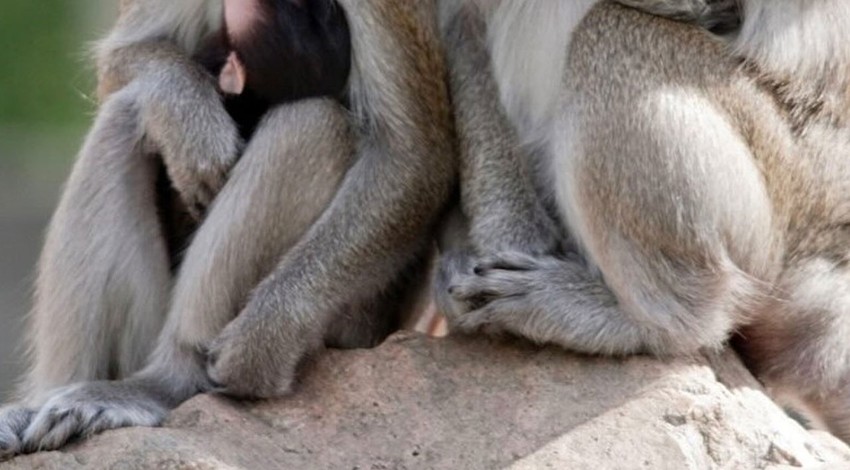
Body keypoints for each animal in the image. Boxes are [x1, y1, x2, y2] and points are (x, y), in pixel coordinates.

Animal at [0, 0, 458, 458]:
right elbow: (118, 64)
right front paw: (189, 115)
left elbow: (412, 158)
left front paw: (260, 345)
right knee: (124, 115)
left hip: (354, 325)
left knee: (316, 124)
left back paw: (168, 381)